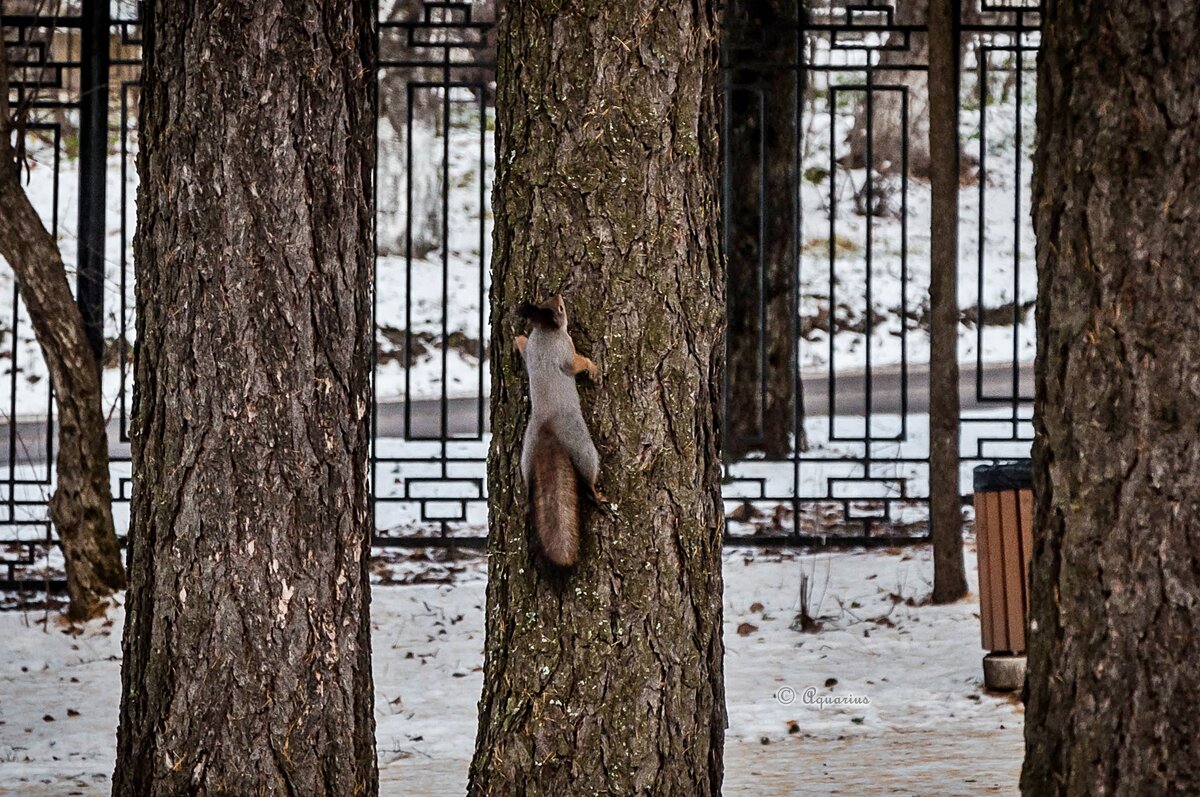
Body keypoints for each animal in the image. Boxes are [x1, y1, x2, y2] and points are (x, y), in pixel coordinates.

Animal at [516, 292, 609, 566]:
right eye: (560, 308)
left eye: (547, 300)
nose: (559, 294)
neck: (545, 332)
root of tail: (548, 427)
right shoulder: (565, 349)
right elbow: (574, 364)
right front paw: (592, 367)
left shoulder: (532, 348)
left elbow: (523, 346)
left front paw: (517, 340)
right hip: (583, 446)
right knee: (588, 477)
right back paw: (597, 495)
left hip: (526, 457)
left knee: (527, 484)